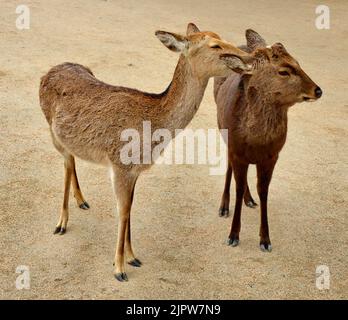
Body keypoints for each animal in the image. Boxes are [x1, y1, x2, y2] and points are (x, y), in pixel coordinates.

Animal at [40, 23, 253, 282]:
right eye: (215, 45)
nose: (249, 57)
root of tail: (48, 71)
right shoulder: (120, 165)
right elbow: (122, 212)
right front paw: (119, 268)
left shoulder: (135, 171)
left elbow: (130, 209)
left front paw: (133, 257)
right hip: (52, 132)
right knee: (67, 163)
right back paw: (61, 223)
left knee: (71, 161)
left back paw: (82, 201)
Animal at [213, 28, 322, 251]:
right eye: (283, 71)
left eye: (298, 62)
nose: (318, 90)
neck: (257, 142)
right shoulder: (237, 151)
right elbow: (238, 186)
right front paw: (233, 235)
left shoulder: (273, 156)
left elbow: (263, 191)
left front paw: (265, 239)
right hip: (223, 131)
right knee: (228, 167)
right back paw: (224, 207)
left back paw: (250, 200)